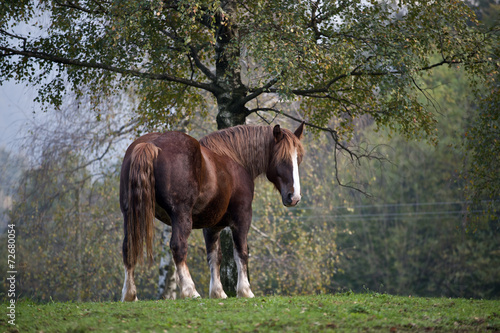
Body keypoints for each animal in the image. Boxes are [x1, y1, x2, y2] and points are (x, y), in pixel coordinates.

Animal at [120, 123, 304, 300]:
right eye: (283, 159)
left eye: (299, 159)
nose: (294, 197)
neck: (235, 160)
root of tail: (151, 144)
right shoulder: (242, 217)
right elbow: (241, 252)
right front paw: (245, 291)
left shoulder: (211, 226)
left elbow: (215, 257)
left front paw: (218, 292)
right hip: (181, 216)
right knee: (178, 247)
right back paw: (190, 291)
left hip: (130, 215)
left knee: (128, 248)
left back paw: (130, 294)